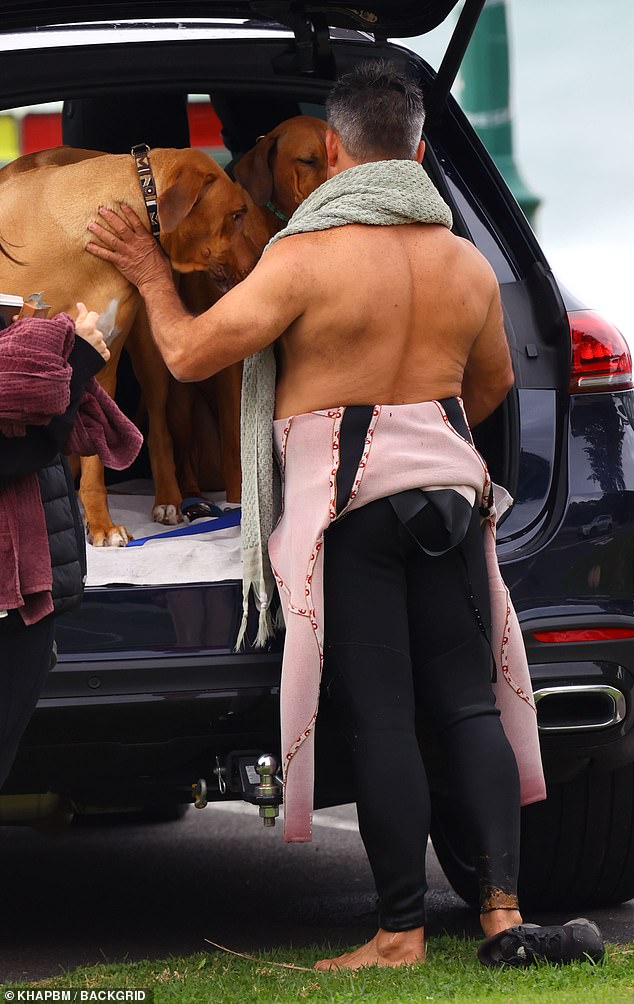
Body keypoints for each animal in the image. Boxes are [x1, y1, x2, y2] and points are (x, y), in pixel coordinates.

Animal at [0, 145, 261, 546]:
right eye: (236, 215)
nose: (258, 265)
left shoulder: (100, 361)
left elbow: (95, 464)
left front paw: (100, 523)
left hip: (151, 350)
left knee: (159, 430)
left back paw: (168, 499)